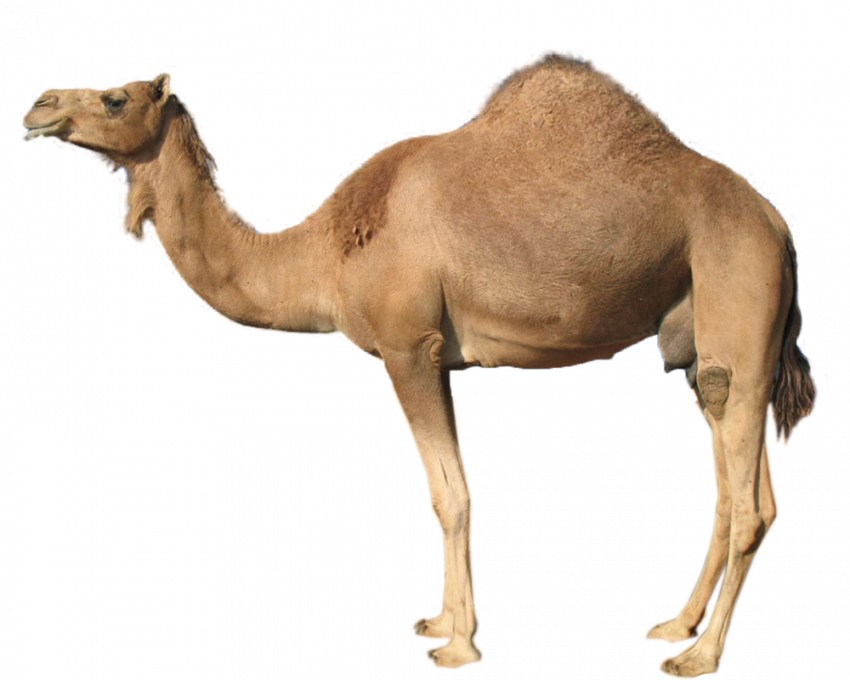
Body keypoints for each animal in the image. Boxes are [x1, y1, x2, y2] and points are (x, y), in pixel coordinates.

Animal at [21, 49, 819, 680]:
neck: (323, 251)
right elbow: (452, 487)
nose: (36, 106)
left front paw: (457, 646)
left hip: (736, 295)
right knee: (740, 481)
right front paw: (440, 624)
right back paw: (674, 627)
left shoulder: (408, 347)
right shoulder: (438, 357)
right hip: (709, 342)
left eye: (115, 97)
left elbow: (448, 494)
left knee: (748, 499)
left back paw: (698, 657)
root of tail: (778, 223)